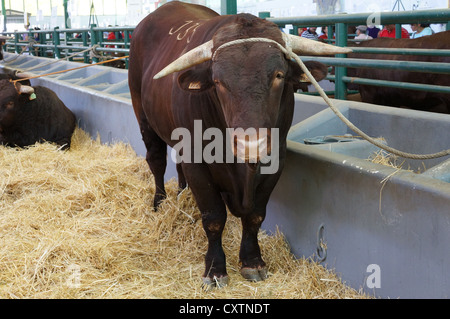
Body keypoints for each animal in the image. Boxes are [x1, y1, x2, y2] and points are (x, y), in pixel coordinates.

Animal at [127, 0, 352, 290]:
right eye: (218, 81)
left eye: (279, 75)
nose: (251, 143)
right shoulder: (197, 161)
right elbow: (213, 218)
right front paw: (215, 269)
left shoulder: (275, 159)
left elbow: (254, 215)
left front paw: (252, 261)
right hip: (143, 116)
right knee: (156, 160)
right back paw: (160, 203)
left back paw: (181, 195)